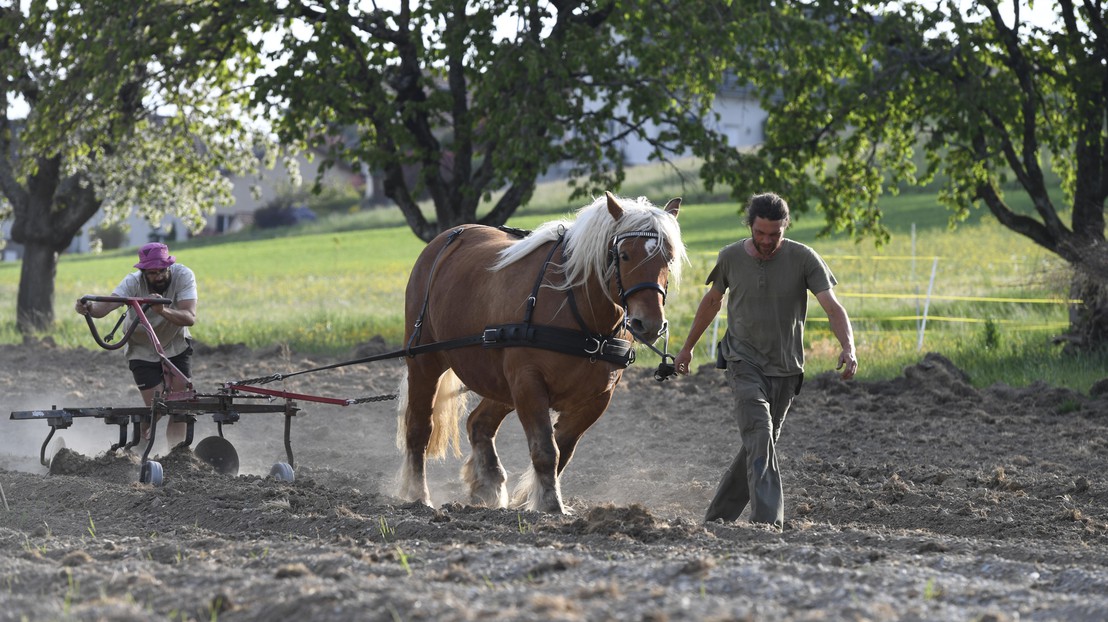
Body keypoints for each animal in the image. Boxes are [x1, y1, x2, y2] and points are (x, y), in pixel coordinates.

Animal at [394, 191, 678, 512]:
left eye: (668, 257)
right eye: (625, 255)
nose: (649, 323)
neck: (583, 318)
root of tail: (445, 239)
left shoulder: (597, 397)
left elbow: (563, 451)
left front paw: (536, 499)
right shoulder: (528, 382)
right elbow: (545, 448)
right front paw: (551, 504)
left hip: (500, 382)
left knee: (478, 423)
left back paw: (488, 485)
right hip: (426, 361)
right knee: (419, 428)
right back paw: (418, 495)